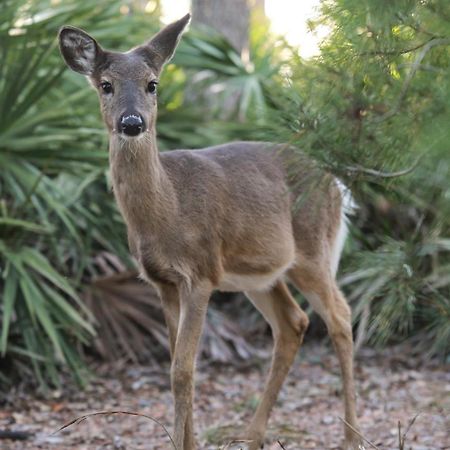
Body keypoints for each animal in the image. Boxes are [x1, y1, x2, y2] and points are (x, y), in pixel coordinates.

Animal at [57, 13, 366, 450]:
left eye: (153, 83)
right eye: (106, 85)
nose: (132, 122)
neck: (168, 209)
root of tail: (336, 184)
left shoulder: (200, 273)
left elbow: (183, 370)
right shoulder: (162, 282)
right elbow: (176, 365)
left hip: (313, 251)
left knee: (340, 317)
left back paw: (351, 436)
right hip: (260, 273)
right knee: (293, 324)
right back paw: (252, 435)